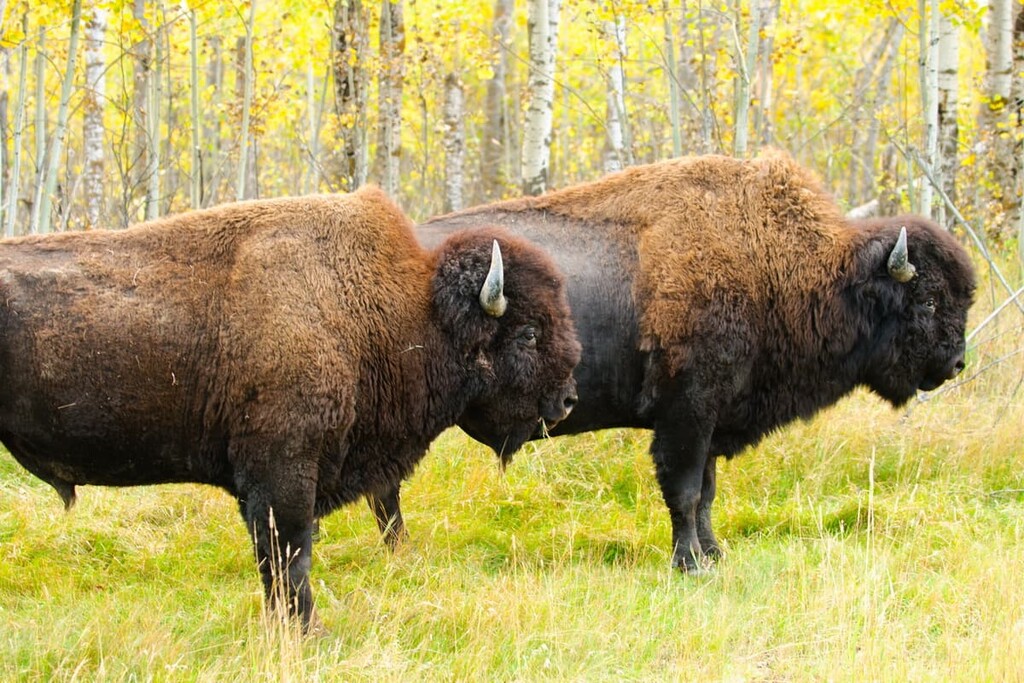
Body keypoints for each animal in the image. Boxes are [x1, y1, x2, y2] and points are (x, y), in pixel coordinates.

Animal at [0, 187, 581, 628]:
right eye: (529, 333)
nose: (567, 400)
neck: (400, 312)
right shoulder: (282, 474)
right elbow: (289, 558)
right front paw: (307, 632)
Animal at [409, 151, 976, 572]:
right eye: (928, 300)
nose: (955, 364)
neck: (782, 266)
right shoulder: (688, 411)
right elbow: (683, 490)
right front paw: (690, 564)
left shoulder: (713, 419)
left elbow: (706, 493)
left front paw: (715, 554)